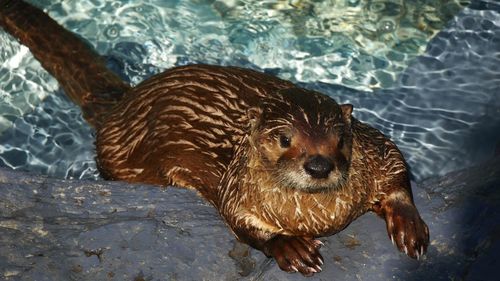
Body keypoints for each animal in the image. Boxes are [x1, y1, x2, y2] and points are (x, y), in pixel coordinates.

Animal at [0, 0, 430, 276]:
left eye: (339, 139)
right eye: (284, 139)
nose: (319, 165)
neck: (317, 216)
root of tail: (126, 103)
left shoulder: (375, 148)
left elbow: (397, 164)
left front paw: (409, 225)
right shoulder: (235, 189)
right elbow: (237, 219)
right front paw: (289, 246)